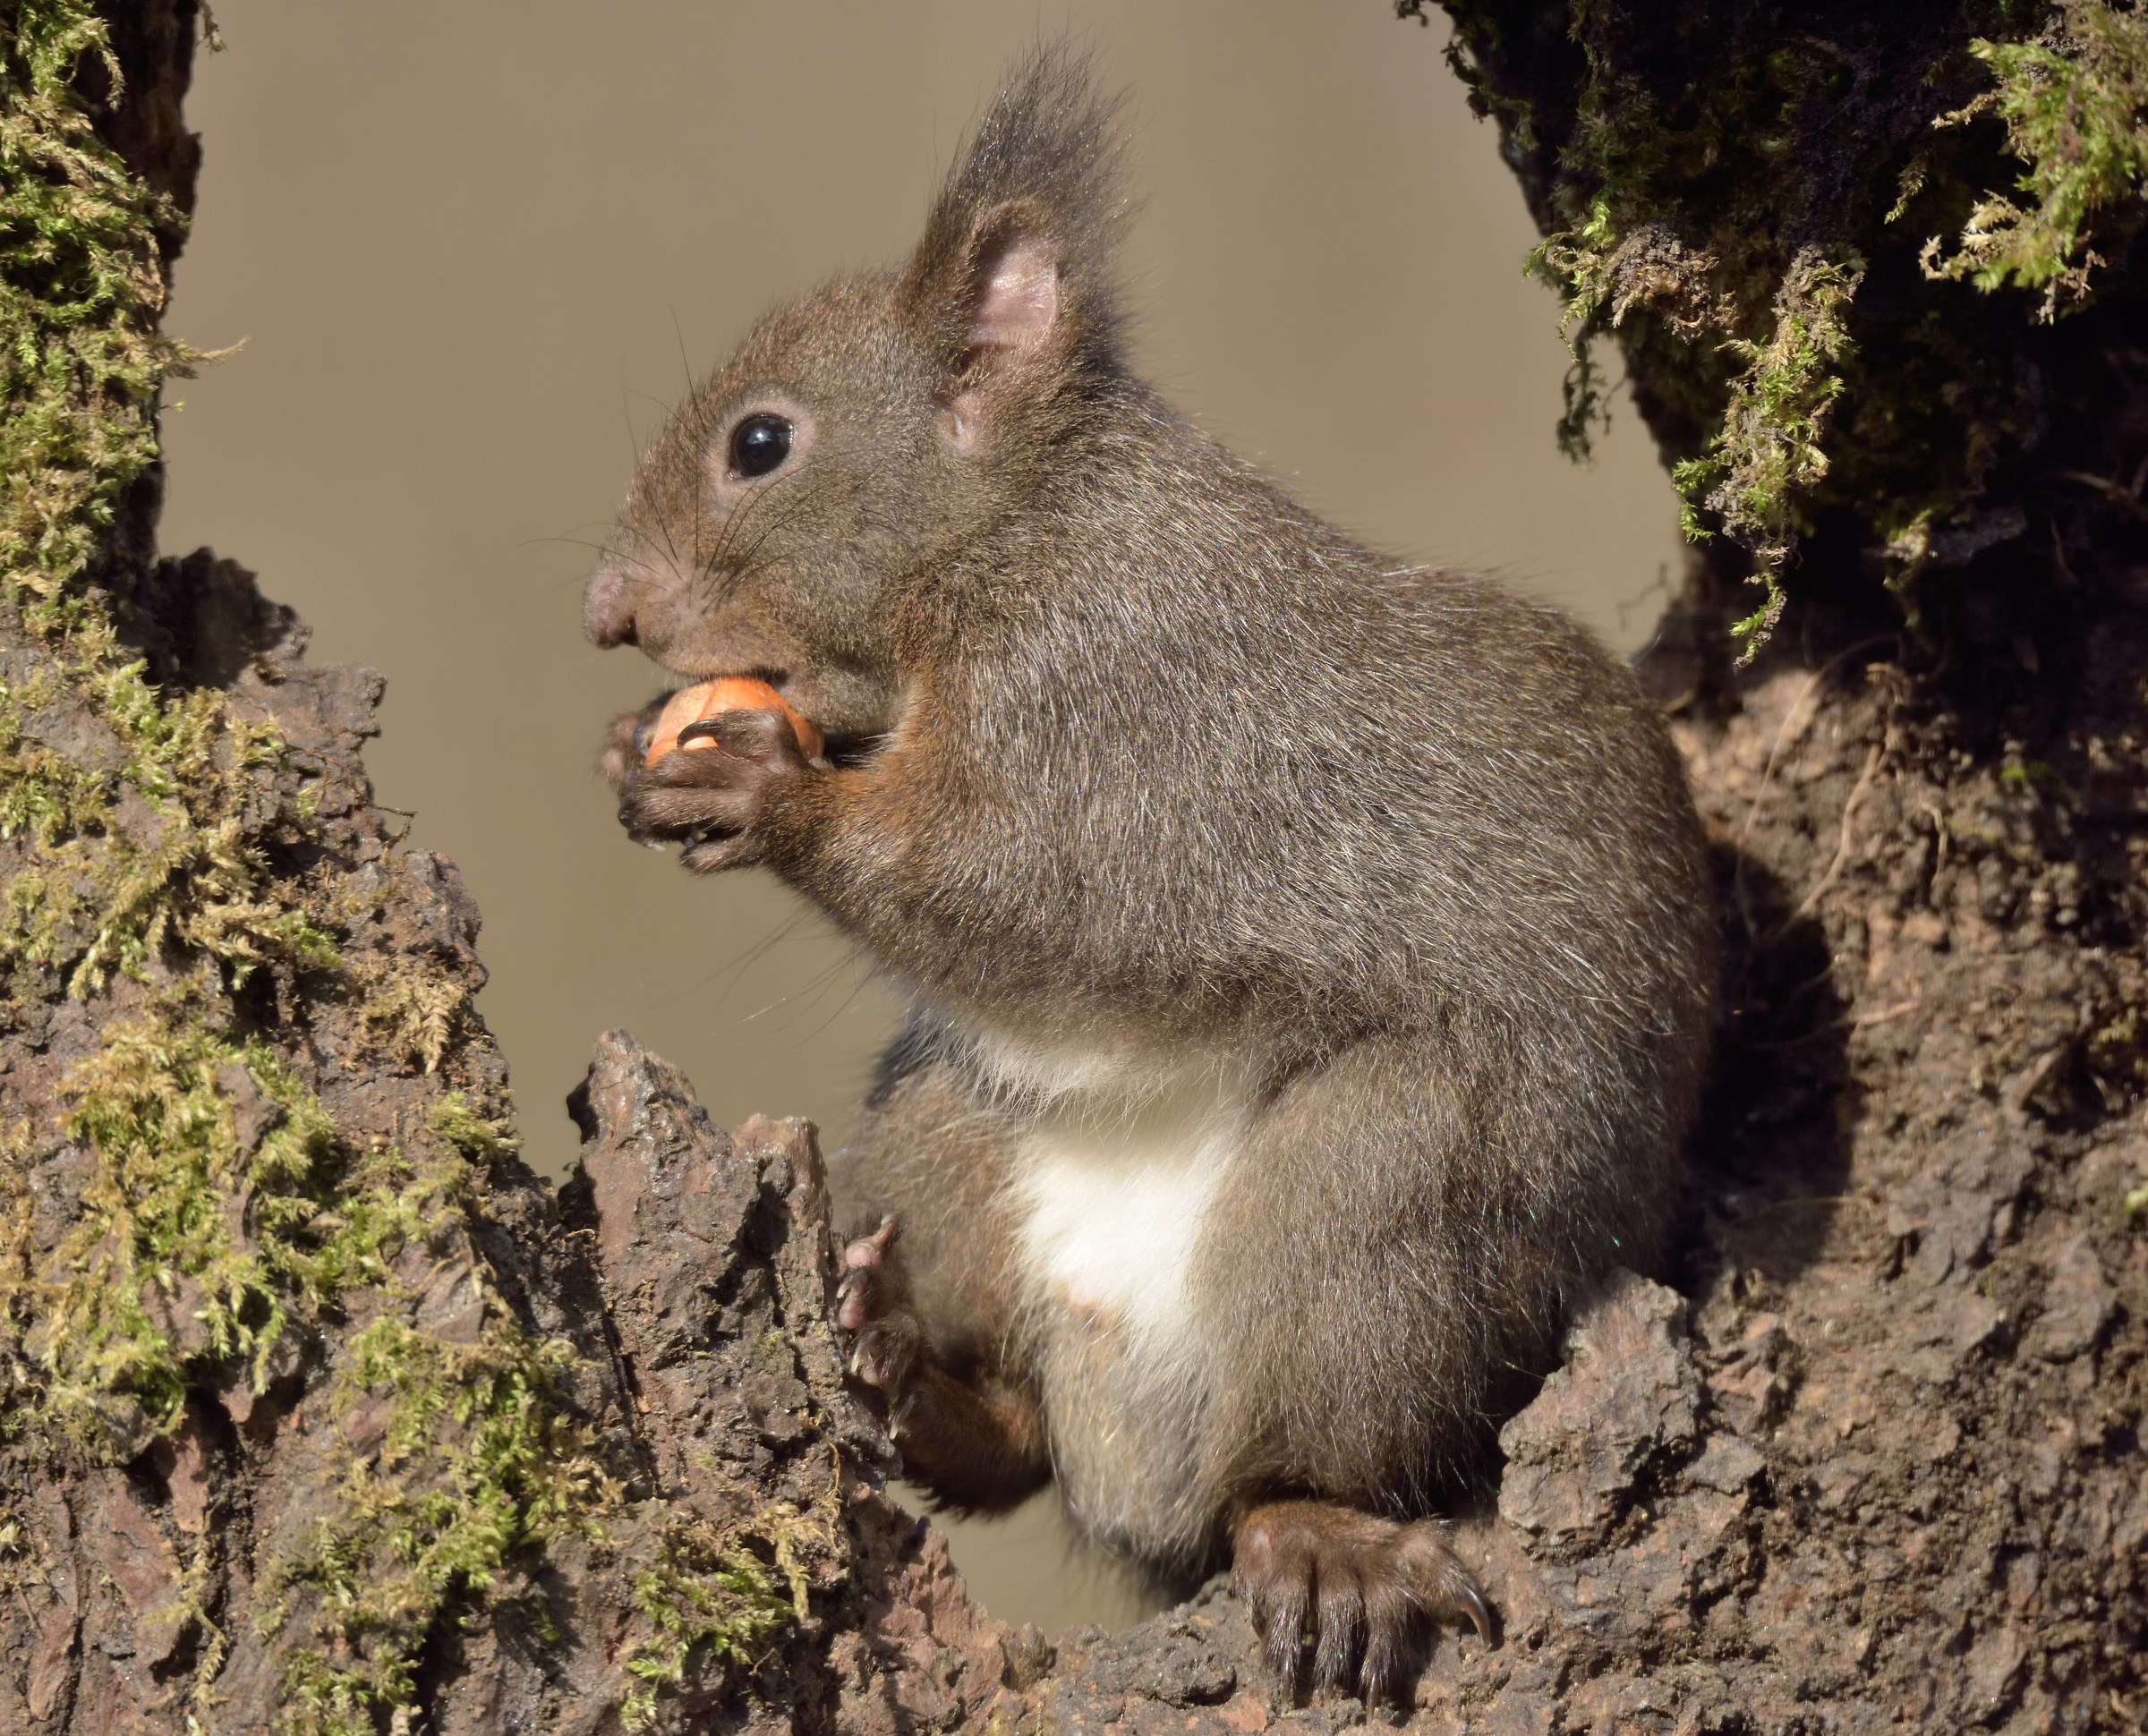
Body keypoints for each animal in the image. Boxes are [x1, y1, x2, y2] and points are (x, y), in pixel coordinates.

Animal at [584, 50, 1715, 1704]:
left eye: (762, 445)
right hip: (942, 1142)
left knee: (1296, 1435)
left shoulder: (1128, 730)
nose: (608, 609)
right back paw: (915, 1381)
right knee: (1014, 1440)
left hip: (1392, 1203)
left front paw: (761, 792)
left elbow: (1013, 886)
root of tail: (1145, 1459)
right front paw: (637, 753)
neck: (1019, 535)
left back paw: (1309, 1526)